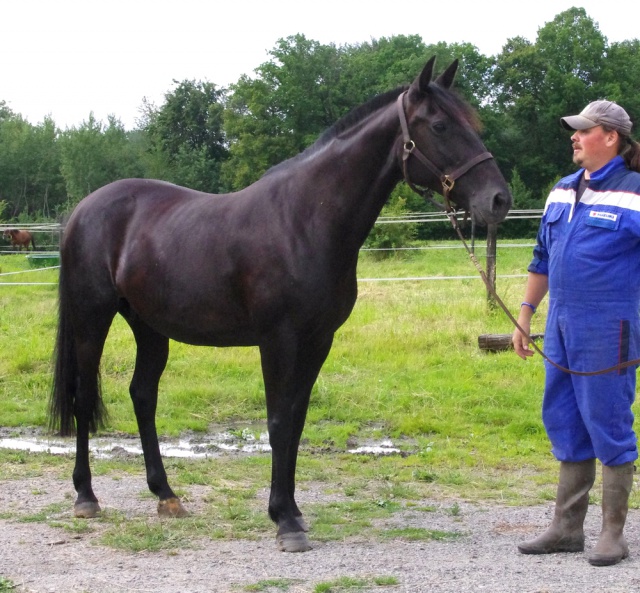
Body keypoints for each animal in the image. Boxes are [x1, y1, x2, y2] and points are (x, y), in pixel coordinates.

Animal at [48, 56, 510, 552]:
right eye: (440, 125)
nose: (499, 199)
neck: (305, 220)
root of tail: (81, 212)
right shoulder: (277, 340)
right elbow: (277, 421)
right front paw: (284, 521)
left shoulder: (318, 341)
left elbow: (297, 421)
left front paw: (293, 510)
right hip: (91, 318)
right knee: (82, 397)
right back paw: (86, 497)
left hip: (150, 327)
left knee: (143, 395)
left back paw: (166, 496)